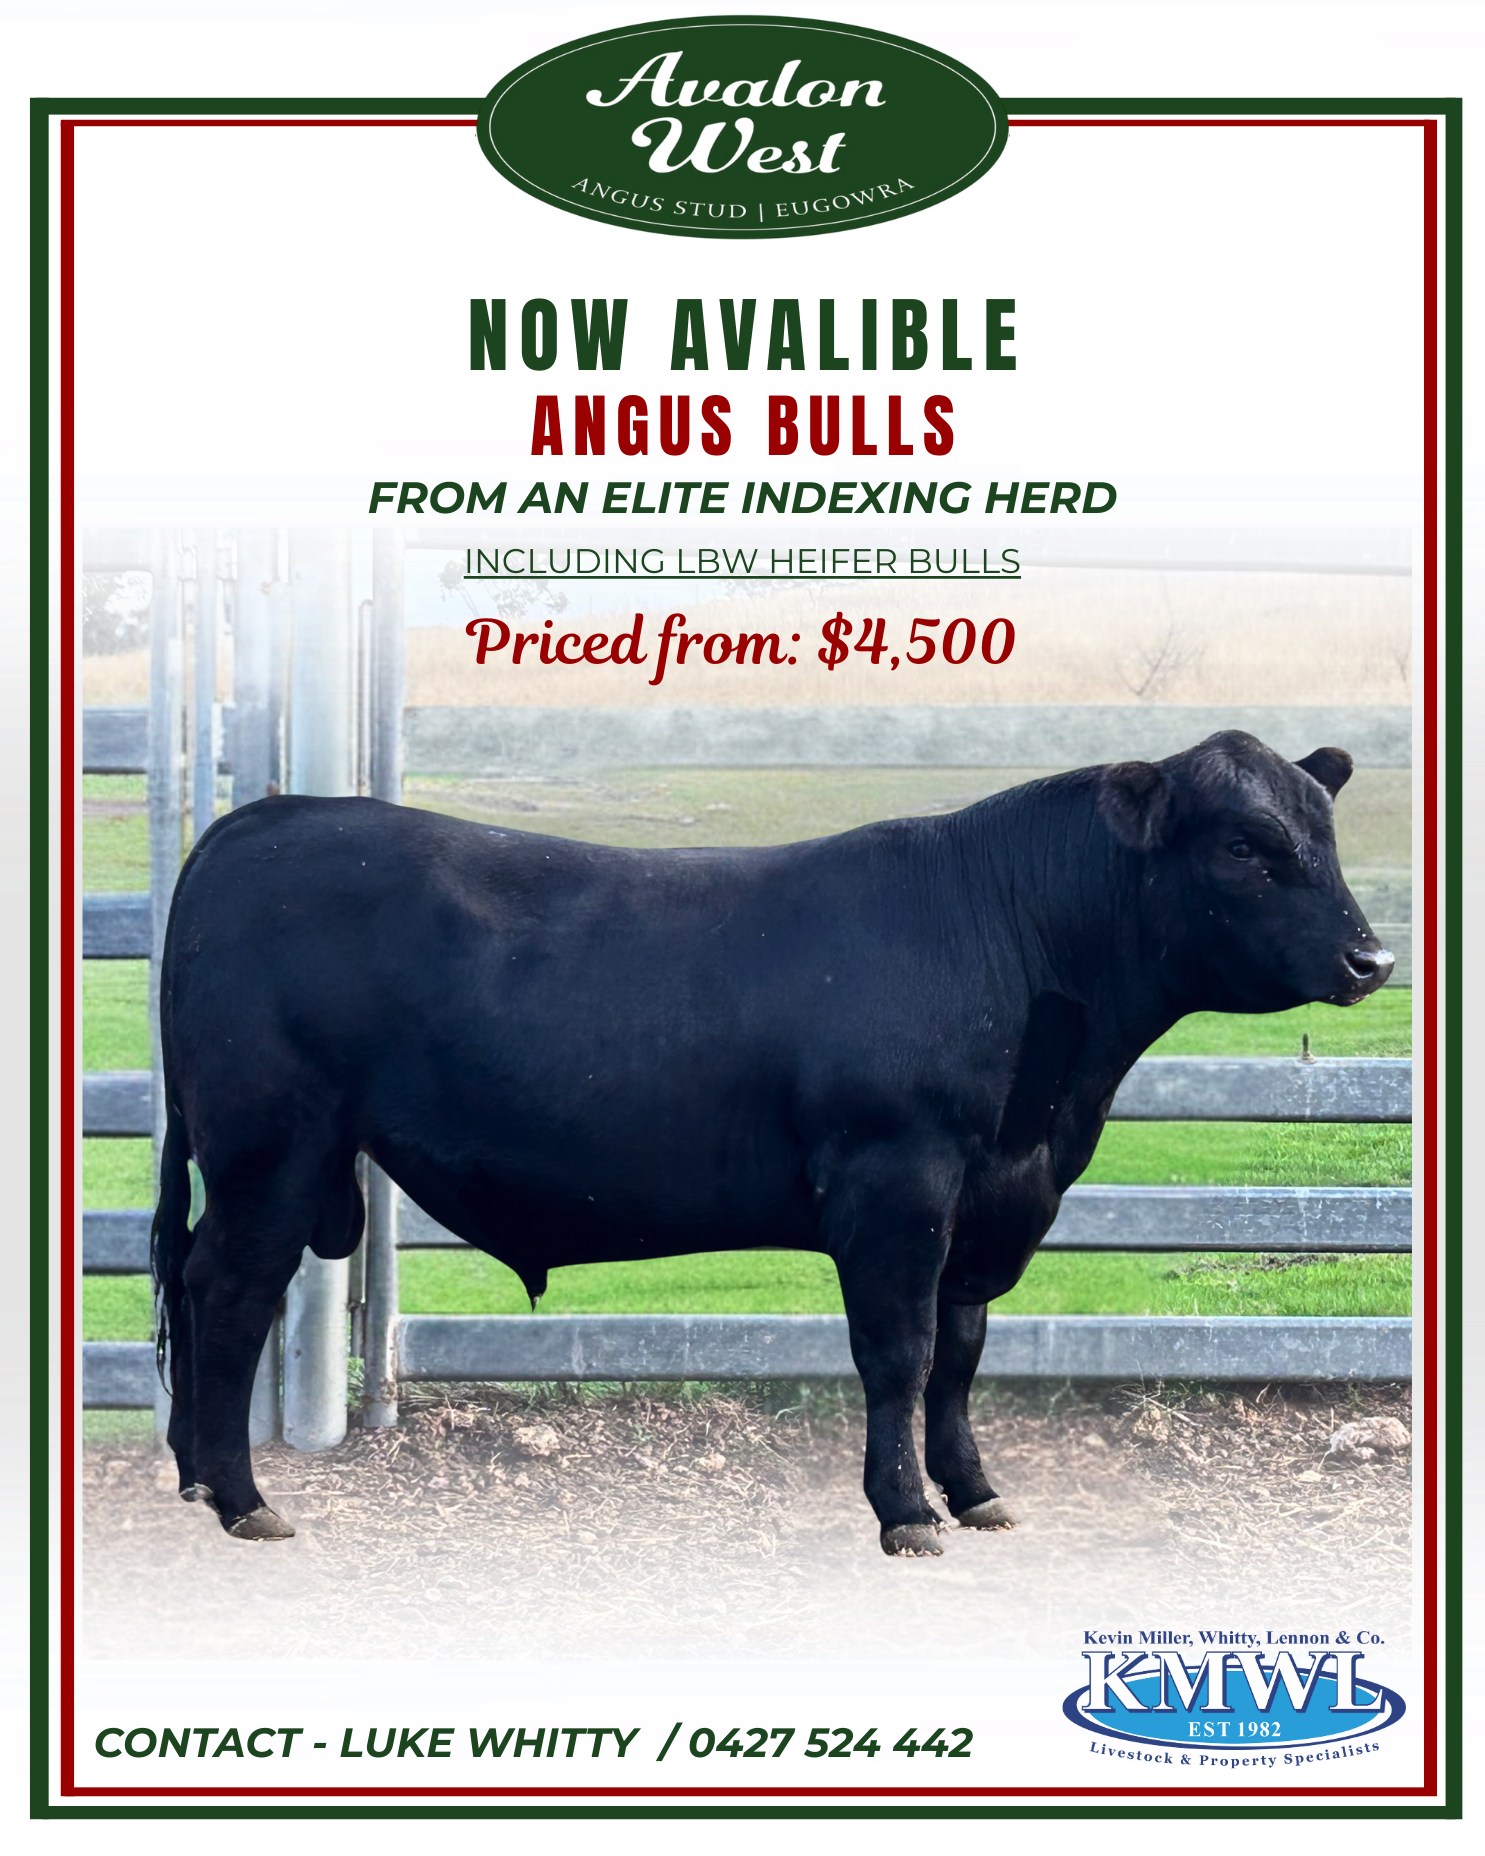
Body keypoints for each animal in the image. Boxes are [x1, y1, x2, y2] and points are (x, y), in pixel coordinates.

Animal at [149, 730, 1393, 1555]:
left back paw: (196, 1478)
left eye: (1322, 833)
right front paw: (906, 1514)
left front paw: (975, 1492)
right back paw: (243, 1498)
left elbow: (962, 1354)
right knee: (230, 1291)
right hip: (272, 1145)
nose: (1371, 958)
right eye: (1245, 845)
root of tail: (266, 817)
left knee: (197, 1278)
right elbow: (900, 1353)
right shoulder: (896, 1182)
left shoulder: (987, 1206)